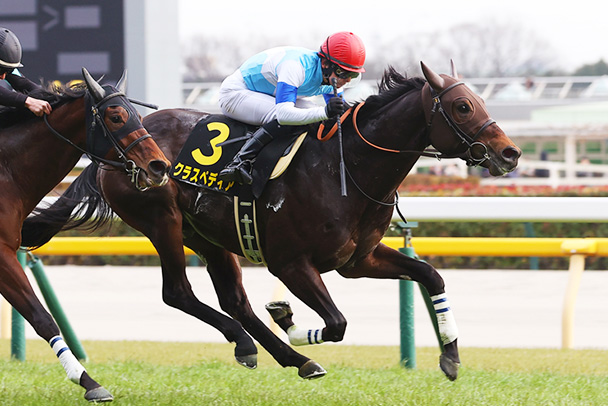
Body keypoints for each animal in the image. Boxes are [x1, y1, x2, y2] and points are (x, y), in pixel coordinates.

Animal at [2, 68, 171, 402]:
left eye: (138, 116)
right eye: (116, 117)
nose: (159, 166)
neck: (6, 171)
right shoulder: (2, 254)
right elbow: (42, 317)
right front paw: (87, 380)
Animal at [22, 61, 520, 383]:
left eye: (479, 100)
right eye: (462, 107)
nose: (510, 153)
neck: (347, 168)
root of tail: (113, 150)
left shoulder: (357, 260)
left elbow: (430, 275)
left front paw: (451, 356)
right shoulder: (291, 263)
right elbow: (336, 323)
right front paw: (288, 317)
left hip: (208, 234)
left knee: (234, 301)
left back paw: (282, 356)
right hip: (163, 219)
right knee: (178, 292)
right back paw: (266, 347)